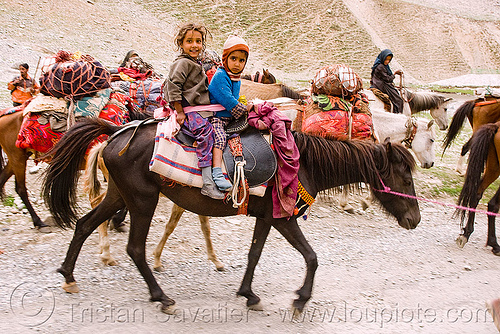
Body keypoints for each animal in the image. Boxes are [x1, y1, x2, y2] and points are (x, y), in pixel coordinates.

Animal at [41, 117, 420, 314]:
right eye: (405, 177)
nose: (415, 220)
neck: (303, 162)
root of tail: (115, 133)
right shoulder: (283, 219)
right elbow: (311, 257)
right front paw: (300, 298)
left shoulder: (267, 218)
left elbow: (255, 253)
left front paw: (248, 293)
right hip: (142, 201)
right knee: (134, 248)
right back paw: (162, 297)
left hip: (120, 195)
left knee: (85, 224)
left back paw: (68, 275)